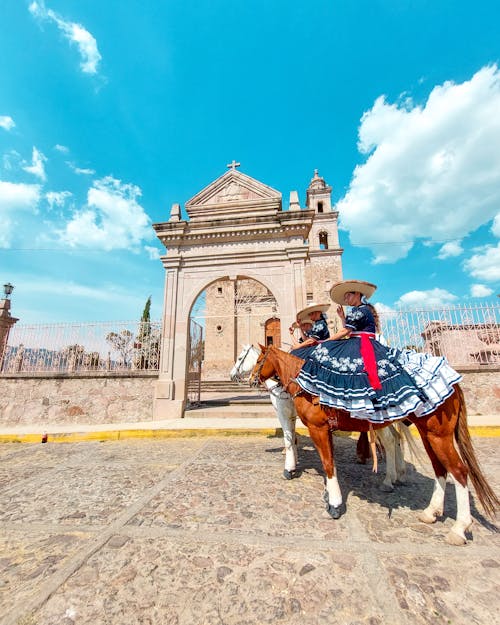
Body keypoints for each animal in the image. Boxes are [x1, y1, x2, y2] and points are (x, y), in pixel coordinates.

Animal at [230, 346, 410, 488]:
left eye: (240, 358)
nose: (232, 375)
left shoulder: (284, 412)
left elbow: (288, 438)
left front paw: (289, 467)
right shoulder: (293, 415)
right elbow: (293, 438)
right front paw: (294, 461)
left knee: (389, 440)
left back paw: (388, 480)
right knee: (397, 437)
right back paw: (399, 474)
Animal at [252, 344, 498, 544]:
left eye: (259, 360)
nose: (251, 378)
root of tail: (454, 383)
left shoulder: (317, 428)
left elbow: (327, 463)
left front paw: (334, 504)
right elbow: (327, 461)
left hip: (437, 434)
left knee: (459, 470)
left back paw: (458, 528)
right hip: (429, 433)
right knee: (439, 467)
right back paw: (429, 510)